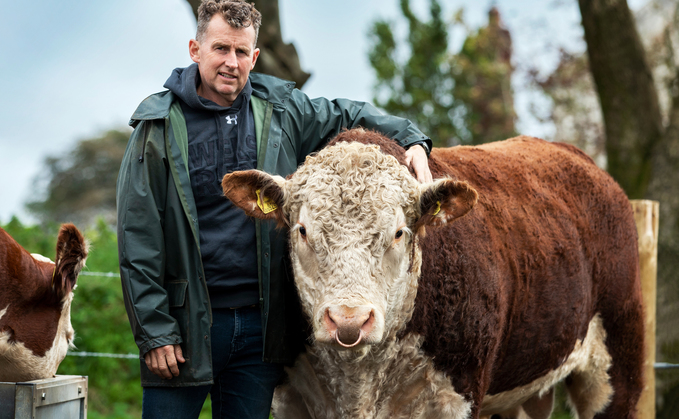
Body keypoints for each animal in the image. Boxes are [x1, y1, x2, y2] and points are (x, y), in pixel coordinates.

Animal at [222, 130, 644, 419]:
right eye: (303, 231)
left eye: (398, 232)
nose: (349, 320)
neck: (360, 381)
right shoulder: (290, 399)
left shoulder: (458, 397)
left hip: (617, 361)